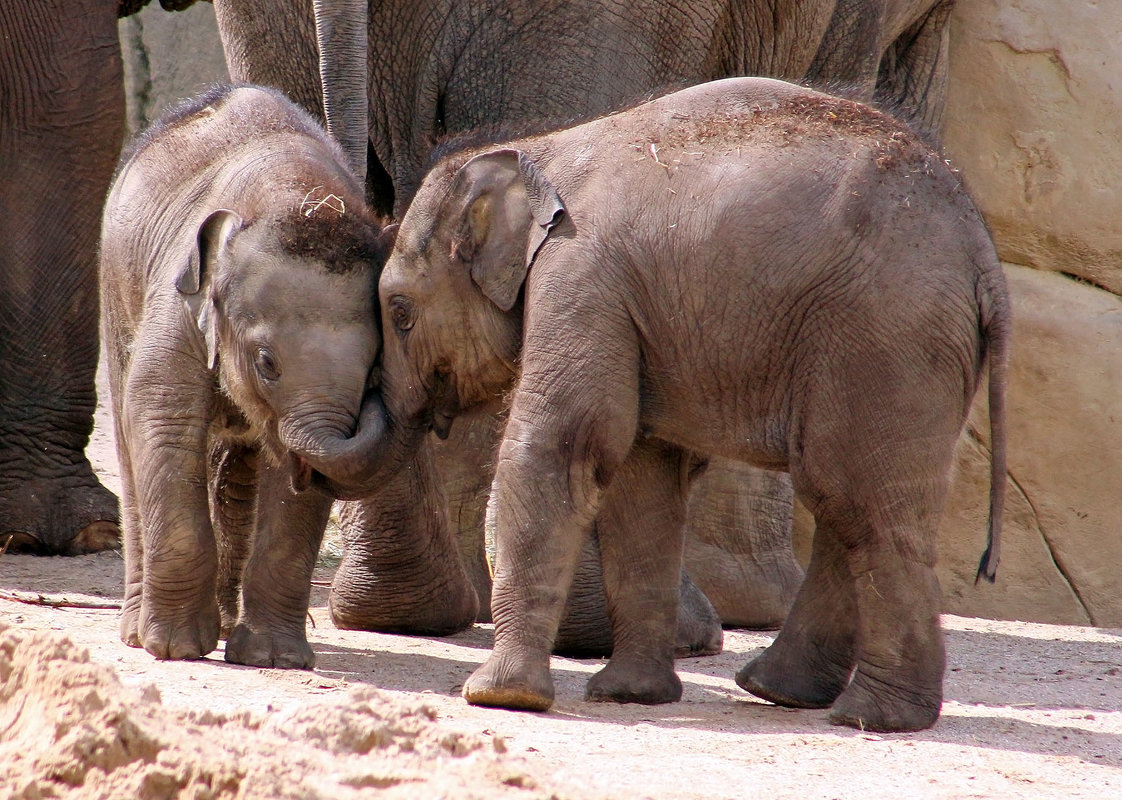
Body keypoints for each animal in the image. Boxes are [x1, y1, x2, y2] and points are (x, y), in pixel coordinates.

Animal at [370, 76, 1018, 731]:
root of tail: (983, 257)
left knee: (860, 499)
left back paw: (873, 718)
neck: (535, 151)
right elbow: (644, 478)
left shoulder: (580, 274)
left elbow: (563, 446)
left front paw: (499, 697)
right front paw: (629, 695)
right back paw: (781, 692)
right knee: (844, 497)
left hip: (885, 339)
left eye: (399, 313)